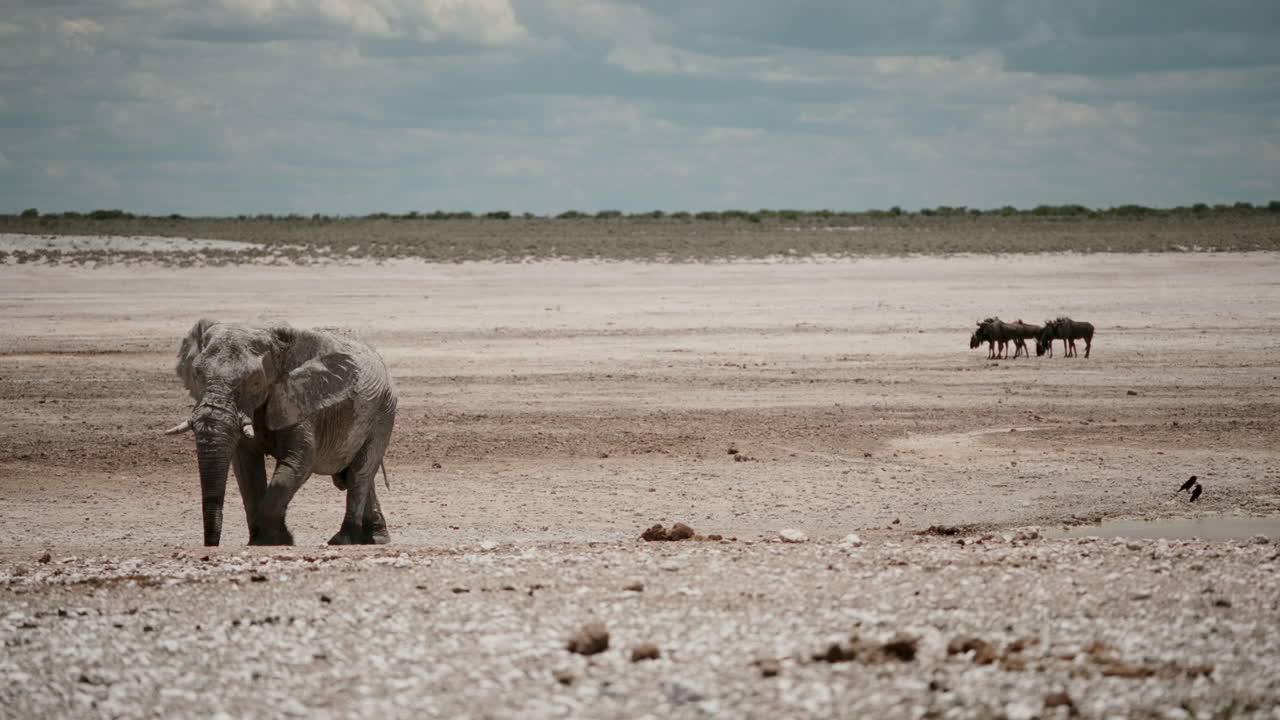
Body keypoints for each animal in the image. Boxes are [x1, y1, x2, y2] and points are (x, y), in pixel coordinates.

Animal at [165, 319, 398, 546]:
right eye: (197, 374)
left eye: (255, 381)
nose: (212, 545)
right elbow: (246, 468)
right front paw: (257, 540)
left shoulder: (301, 400)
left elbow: (298, 462)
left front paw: (275, 540)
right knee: (353, 476)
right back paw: (374, 539)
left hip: (383, 412)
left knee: (359, 473)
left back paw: (343, 540)